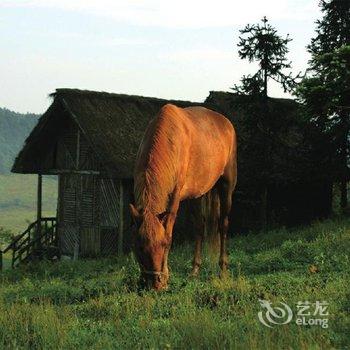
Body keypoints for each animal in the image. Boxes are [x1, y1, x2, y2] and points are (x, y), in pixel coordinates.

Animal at [130, 104, 237, 290]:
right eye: (139, 247)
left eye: (165, 245)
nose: (155, 284)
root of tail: (226, 123)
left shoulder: (175, 198)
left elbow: (170, 230)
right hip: (198, 194)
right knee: (199, 228)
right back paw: (195, 270)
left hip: (227, 186)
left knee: (223, 225)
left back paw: (223, 270)